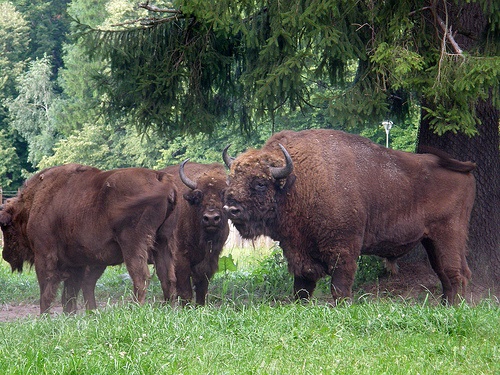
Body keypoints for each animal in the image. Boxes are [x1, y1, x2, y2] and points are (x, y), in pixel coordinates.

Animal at [0, 164, 177, 314]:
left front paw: (44, 317)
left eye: (6, 227)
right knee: (166, 276)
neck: (33, 202)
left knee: (141, 277)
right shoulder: (76, 262)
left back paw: (134, 309)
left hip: (132, 245)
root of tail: (159, 177)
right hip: (162, 242)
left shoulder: (44, 255)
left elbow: (47, 289)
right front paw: (69, 316)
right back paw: (168, 308)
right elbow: (70, 293)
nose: (5, 255)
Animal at [157, 162, 229, 306]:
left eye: (223, 195)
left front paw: (200, 305)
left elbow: (202, 285)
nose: (211, 218)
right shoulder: (180, 258)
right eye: (199, 196)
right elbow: (185, 289)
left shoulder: (211, 258)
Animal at [224, 129, 476, 306]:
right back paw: (445, 306)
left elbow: (339, 285)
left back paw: (454, 308)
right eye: (232, 178)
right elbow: (302, 286)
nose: (230, 208)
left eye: (260, 183)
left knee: (456, 272)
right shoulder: (298, 251)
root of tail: (465, 172)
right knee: (445, 273)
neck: (299, 182)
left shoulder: (343, 249)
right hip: (431, 241)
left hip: (448, 235)